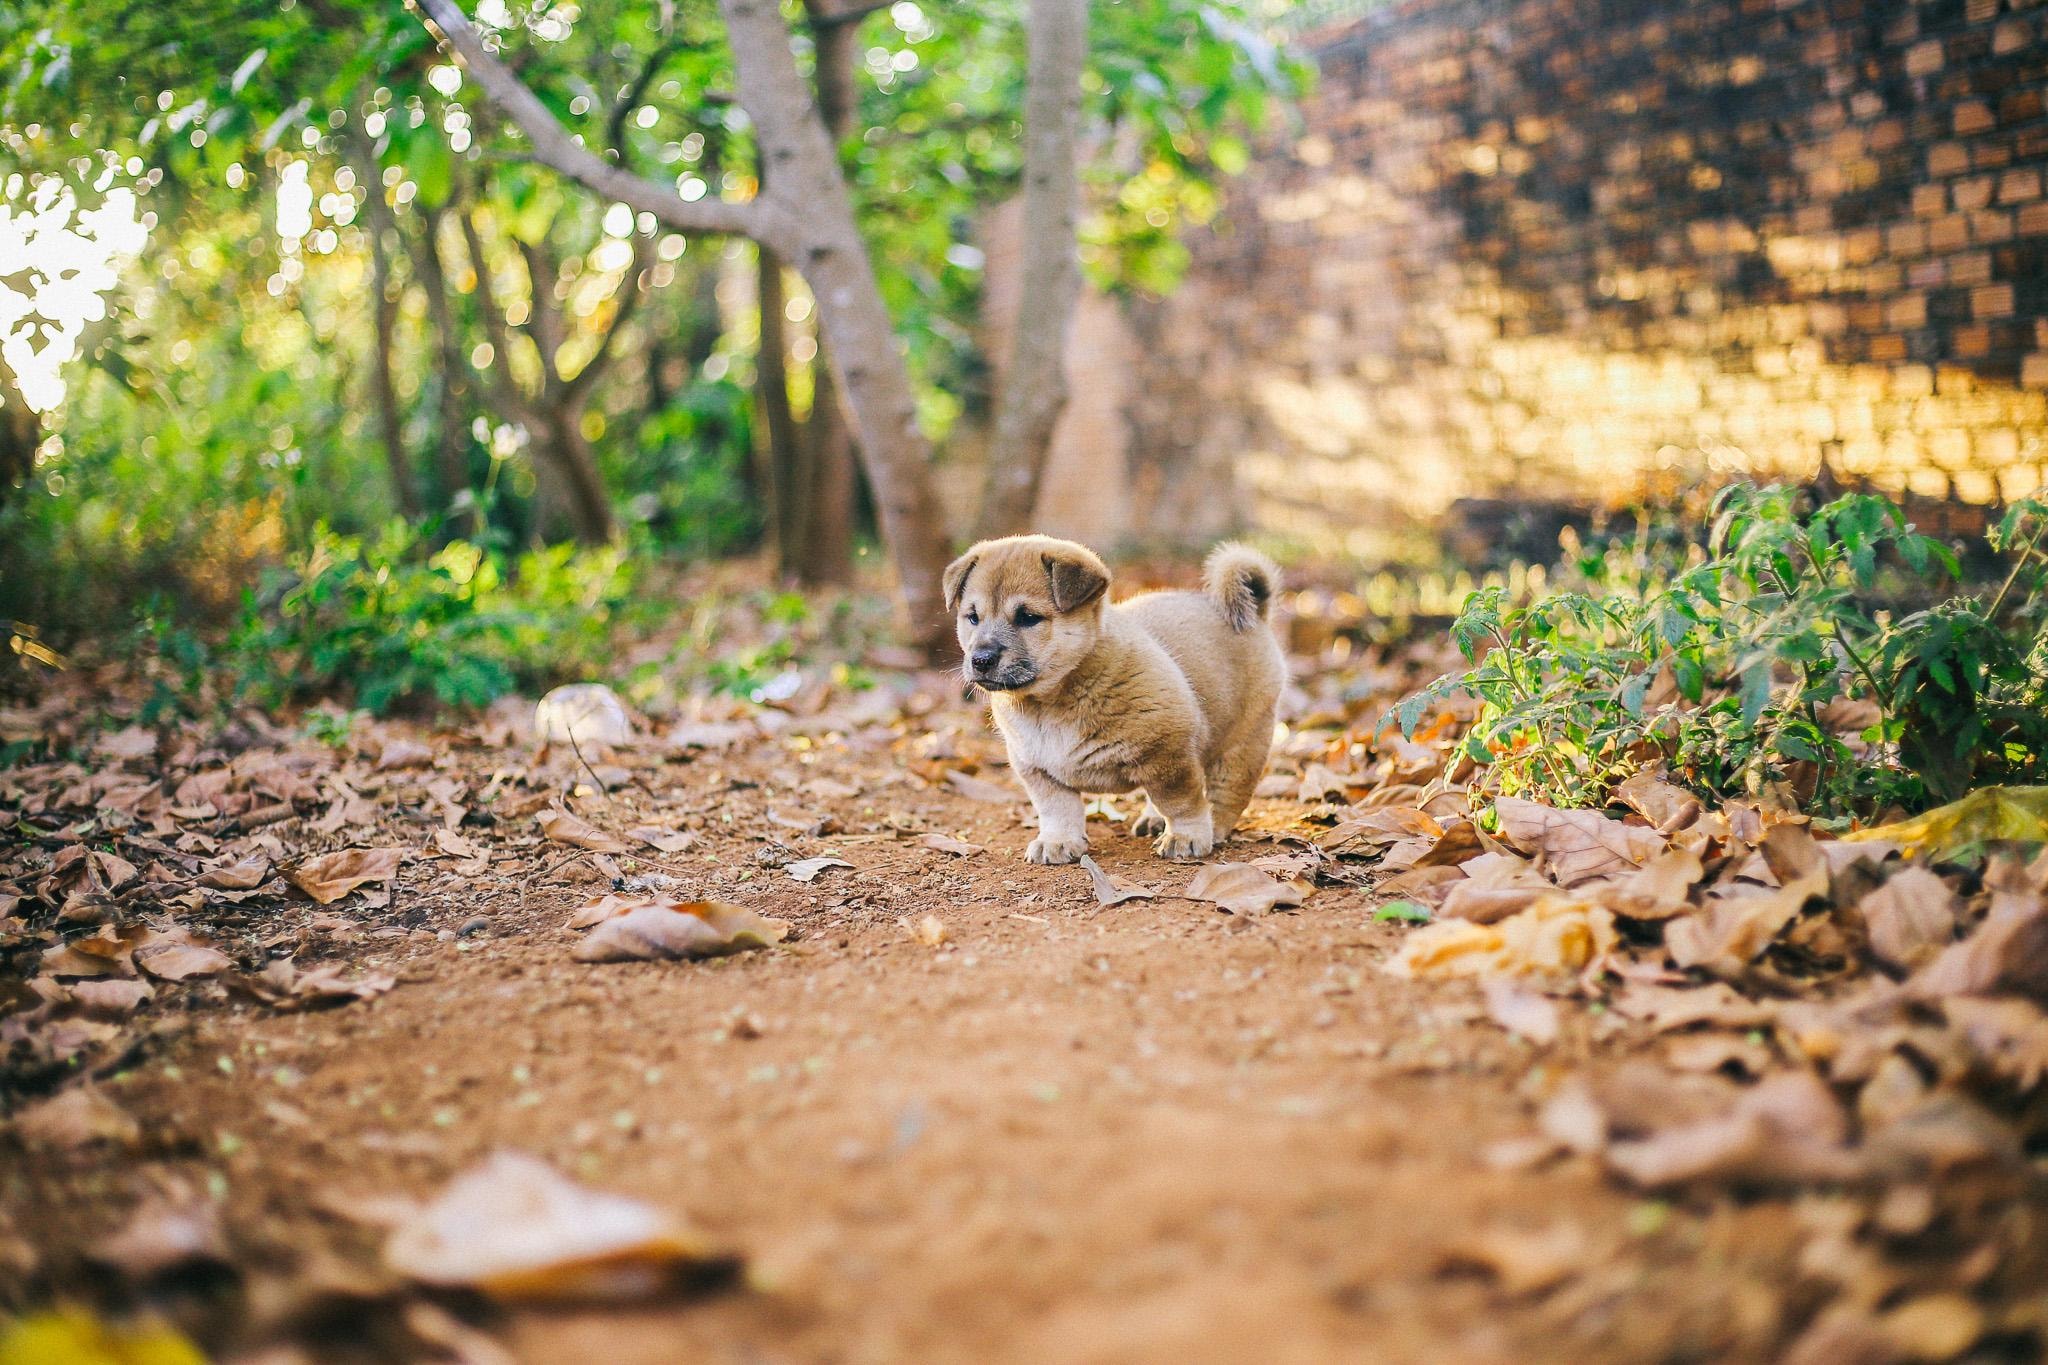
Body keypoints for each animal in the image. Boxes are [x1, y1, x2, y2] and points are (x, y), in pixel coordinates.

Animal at [942, 536, 1277, 863]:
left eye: (1028, 618)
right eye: (973, 617)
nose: (980, 660)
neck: (1049, 704)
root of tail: (1254, 613)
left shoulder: (1169, 755)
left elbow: (1182, 803)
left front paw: (1187, 836)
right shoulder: (1037, 769)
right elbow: (1057, 810)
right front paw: (1058, 842)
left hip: (1242, 745)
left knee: (1226, 795)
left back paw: (1213, 828)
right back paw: (1154, 821)